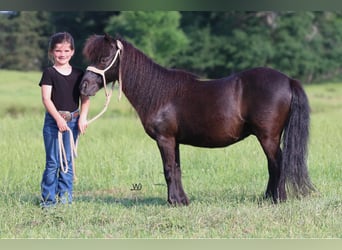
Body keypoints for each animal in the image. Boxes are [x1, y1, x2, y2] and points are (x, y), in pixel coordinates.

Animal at [81, 34, 316, 206]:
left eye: (104, 59)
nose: (83, 86)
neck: (160, 94)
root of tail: (288, 80)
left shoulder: (164, 139)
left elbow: (168, 170)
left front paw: (173, 202)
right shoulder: (173, 140)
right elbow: (176, 169)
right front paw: (182, 200)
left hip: (268, 137)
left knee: (277, 163)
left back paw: (278, 199)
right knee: (273, 164)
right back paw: (267, 197)